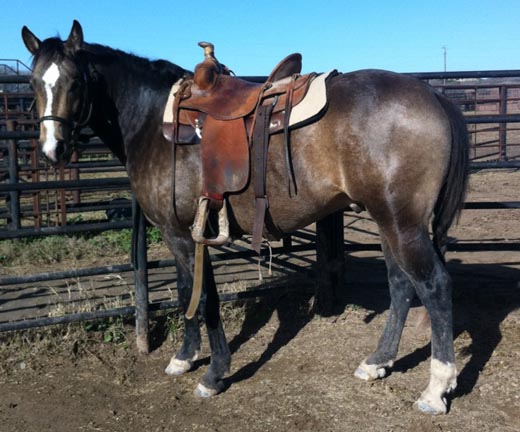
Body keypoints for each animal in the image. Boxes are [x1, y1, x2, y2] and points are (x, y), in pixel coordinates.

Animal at [20, 20, 470, 416]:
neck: (153, 122)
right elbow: (186, 293)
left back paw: (436, 390)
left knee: (434, 286)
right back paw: (377, 362)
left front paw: (214, 374)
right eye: (33, 83)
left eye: (76, 82)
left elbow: (204, 298)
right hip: (387, 221)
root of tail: (434, 97)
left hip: (403, 224)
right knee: (401, 285)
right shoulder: (183, 234)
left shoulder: (182, 235)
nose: (52, 149)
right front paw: (186, 358)